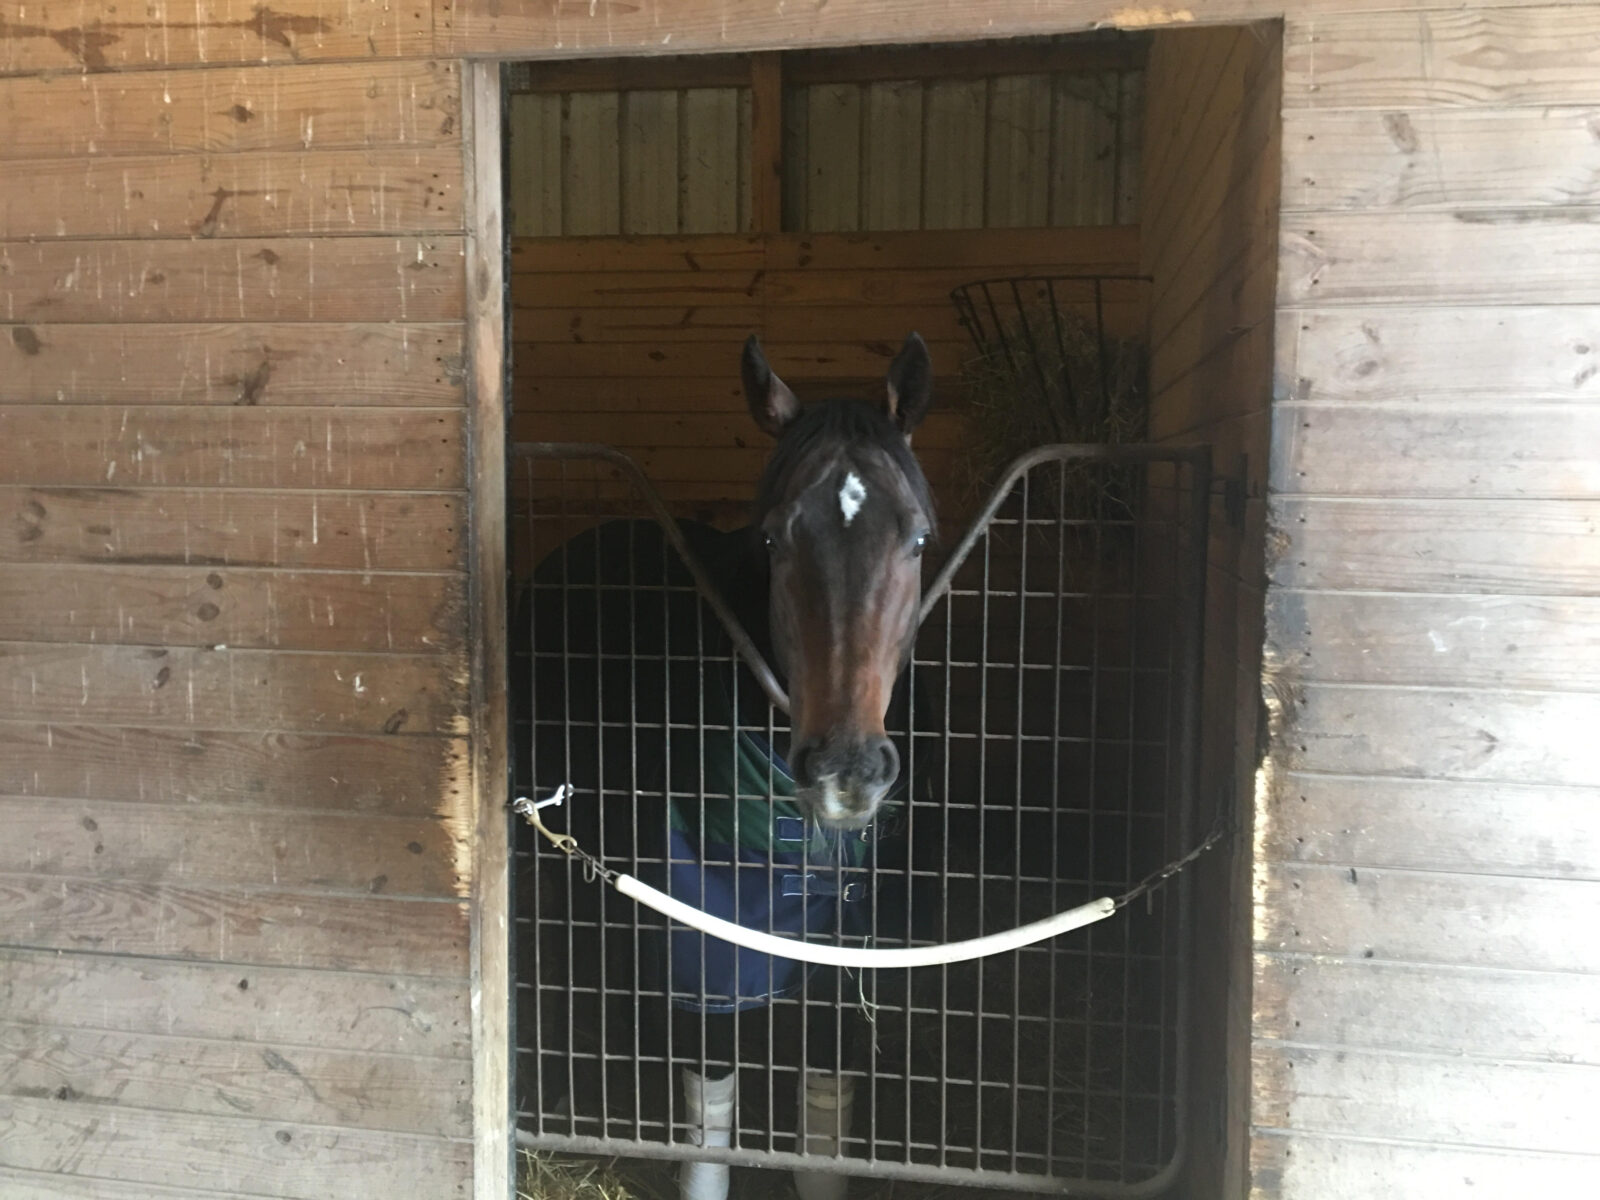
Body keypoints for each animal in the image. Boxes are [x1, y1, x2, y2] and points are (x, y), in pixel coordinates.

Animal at [512, 334, 934, 1200]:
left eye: (916, 538)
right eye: (774, 540)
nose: (846, 770)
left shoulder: (845, 959)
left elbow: (823, 1124)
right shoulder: (706, 953)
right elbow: (710, 1119)